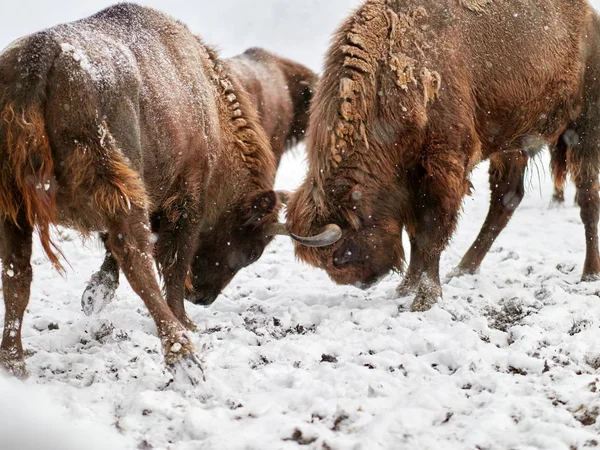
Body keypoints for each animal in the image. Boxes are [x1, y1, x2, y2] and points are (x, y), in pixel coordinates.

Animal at [286, 0, 600, 312]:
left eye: (340, 255)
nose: (364, 282)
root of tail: (590, 16)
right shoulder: (411, 181)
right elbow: (415, 234)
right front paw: (405, 288)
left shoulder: (442, 168)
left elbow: (431, 232)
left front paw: (424, 298)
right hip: (513, 146)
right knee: (505, 201)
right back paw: (463, 269)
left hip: (584, 130)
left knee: (587, 199)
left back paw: (589, 274)